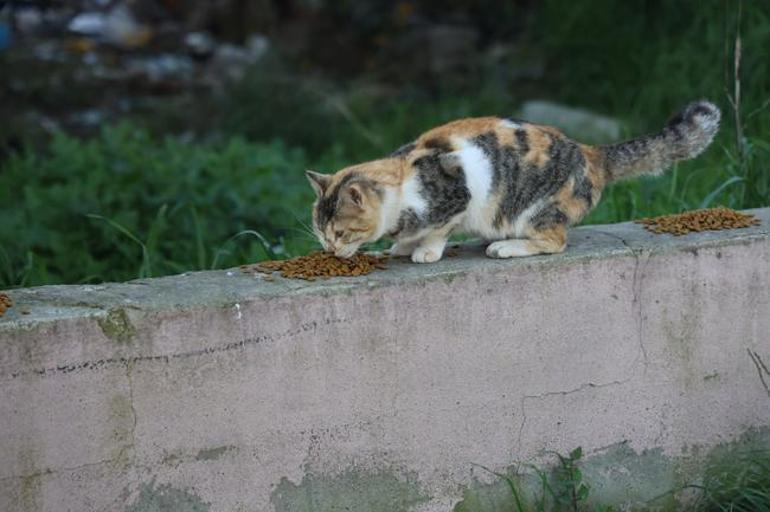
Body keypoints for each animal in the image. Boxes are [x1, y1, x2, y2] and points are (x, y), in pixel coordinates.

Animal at [306, 99, 720, 264]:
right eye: (322, 233)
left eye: (340, 233)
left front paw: (424, 251)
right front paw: (403, 246)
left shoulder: (458, 196)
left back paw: (505, 247)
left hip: (536, 209)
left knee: (555, 242)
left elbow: (439, 229)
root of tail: (590, 152)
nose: (329, 250)